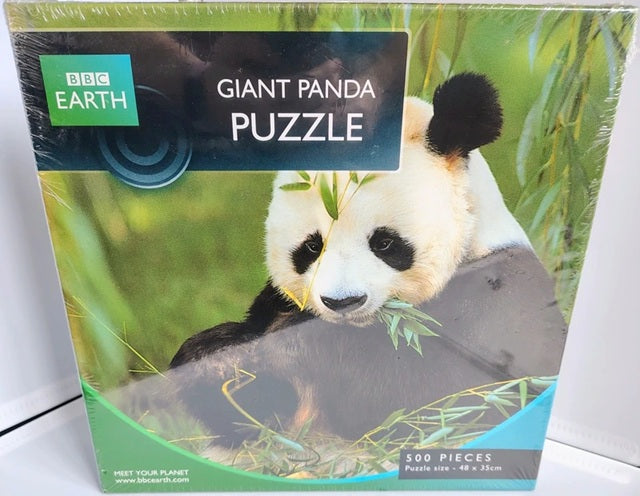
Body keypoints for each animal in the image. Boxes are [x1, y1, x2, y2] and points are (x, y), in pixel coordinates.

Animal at [168, 73, 566, 450]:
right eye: (312, 247)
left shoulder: (499, 298)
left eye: (385, 243)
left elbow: (430, 399)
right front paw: (220, 357)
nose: (343, 302)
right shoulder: (275, 301)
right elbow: (250, 412)